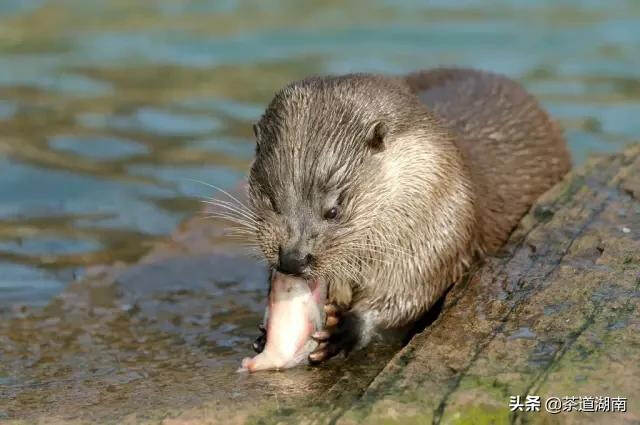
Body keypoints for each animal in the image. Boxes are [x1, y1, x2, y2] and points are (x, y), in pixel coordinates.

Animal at [244, 67, 568, 362]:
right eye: (271, 201)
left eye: (333, 210)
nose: (293, 259)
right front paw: (264, 331)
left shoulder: (439, 226)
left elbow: (411, 291)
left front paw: (346, 328)